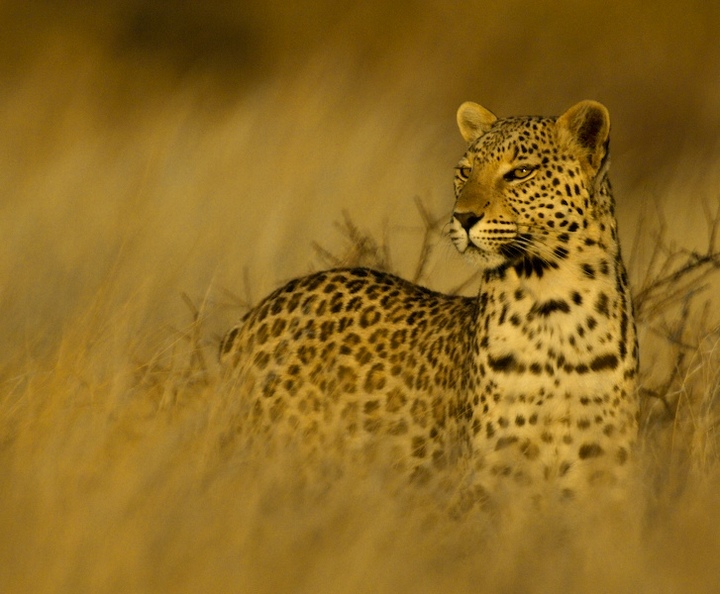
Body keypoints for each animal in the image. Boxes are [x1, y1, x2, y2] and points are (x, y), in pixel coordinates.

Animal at [219, 100, 639, 506]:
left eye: (520, 172)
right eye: (465, 171)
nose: (463, 218)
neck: (554, 305)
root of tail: (259, 310)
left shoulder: (605, 476)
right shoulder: (491, 478)